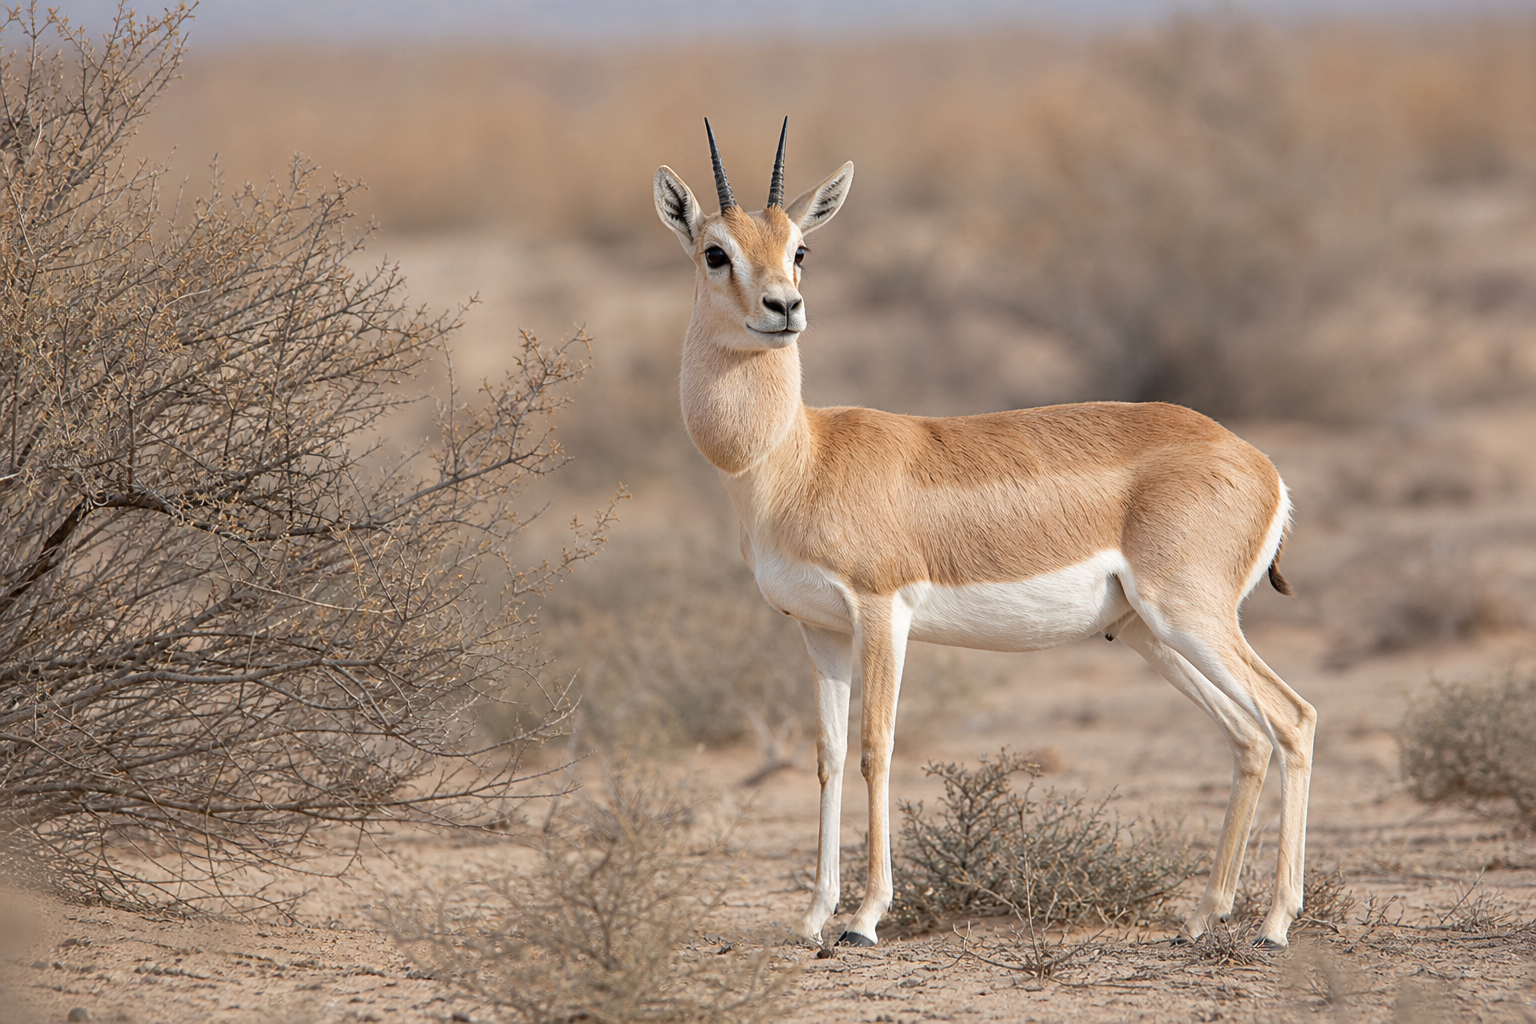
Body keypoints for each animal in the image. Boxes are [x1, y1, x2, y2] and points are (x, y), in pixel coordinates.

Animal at [652, 119, 1314, 950]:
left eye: (800, 249)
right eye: (717, 252)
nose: (784, 307)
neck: (798, 459)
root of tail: (1260, 465)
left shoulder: (882, 613)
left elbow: (876, 748)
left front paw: (864, 919)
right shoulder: (818, 629)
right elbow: (828, 755)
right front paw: (812, 917)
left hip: (1190, 616)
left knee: (1293, 720)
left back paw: (1276, 923)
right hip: (1147, 632)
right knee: (1248, 736)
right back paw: (1203, 916)